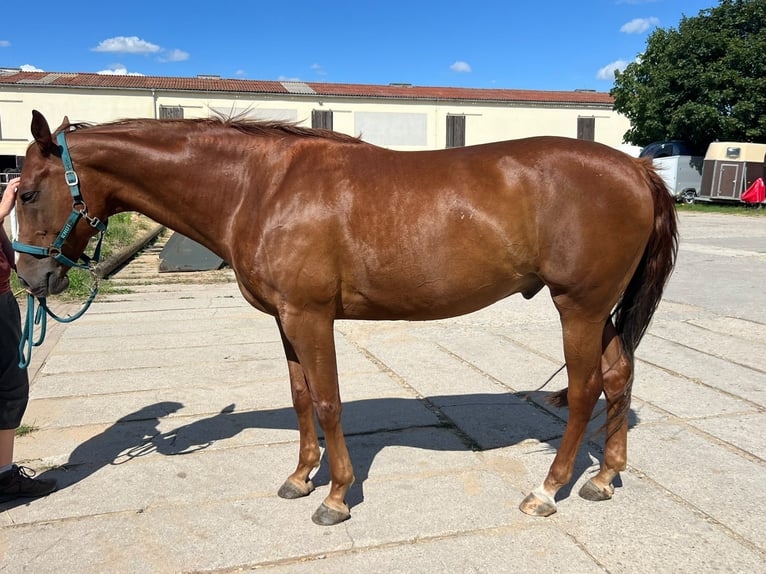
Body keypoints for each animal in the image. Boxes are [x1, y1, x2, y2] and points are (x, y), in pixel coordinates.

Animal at [13, 110, 677, 526]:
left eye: (27, 193)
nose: (31, 280)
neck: (260, 187)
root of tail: (636, 169)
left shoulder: (310, 317)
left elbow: (330, 401)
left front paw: (334, 496)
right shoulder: (284, 319)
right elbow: (302, 396)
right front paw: (300, 475)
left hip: (578, 307)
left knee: (586, 388)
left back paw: (547, 490)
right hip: (599, 310)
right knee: (619, 377)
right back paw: (603, 478)